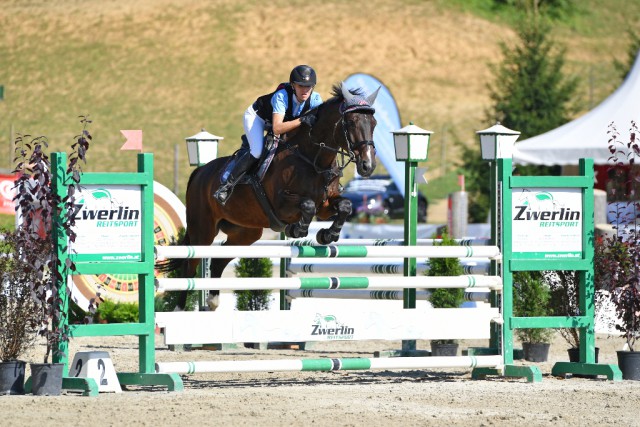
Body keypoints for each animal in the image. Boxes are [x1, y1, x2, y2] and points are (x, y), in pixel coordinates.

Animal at [159, 82, 380, 310]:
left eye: (374, 123)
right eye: (351, 122)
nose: (368, 166)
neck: (312, 158)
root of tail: (199, 172)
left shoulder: (326, 205)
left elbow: (344, 206)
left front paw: (328, 234)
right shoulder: (282, 205)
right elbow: (307, 205)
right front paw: (297, 229)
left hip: (246, 232)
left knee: (219, 260)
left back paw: (212, 302)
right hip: (203, 230)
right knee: (190, 264)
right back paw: (179, 307)